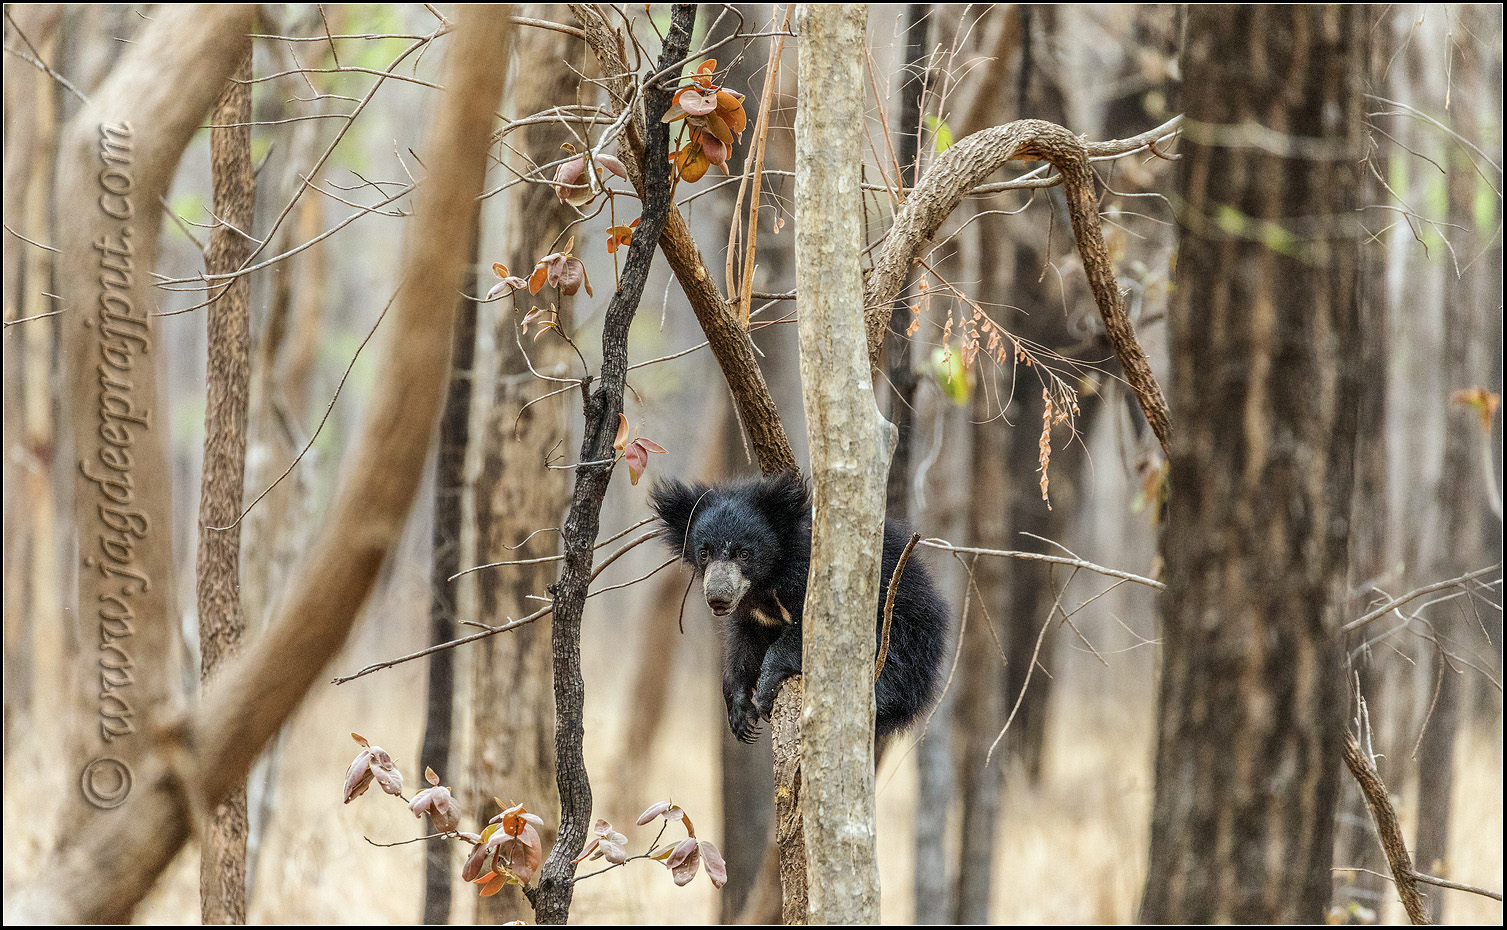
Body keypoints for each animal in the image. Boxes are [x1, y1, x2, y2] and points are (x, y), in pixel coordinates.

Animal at [650, 470, 949, 743]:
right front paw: (741, 716)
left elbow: (807, 631)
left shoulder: (809, 575)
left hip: (905, 637)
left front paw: (766, 690)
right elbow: (743, 647)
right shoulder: (753, 613)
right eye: (704, 553)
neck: (767, 582)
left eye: (744, 553)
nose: (718, 597)